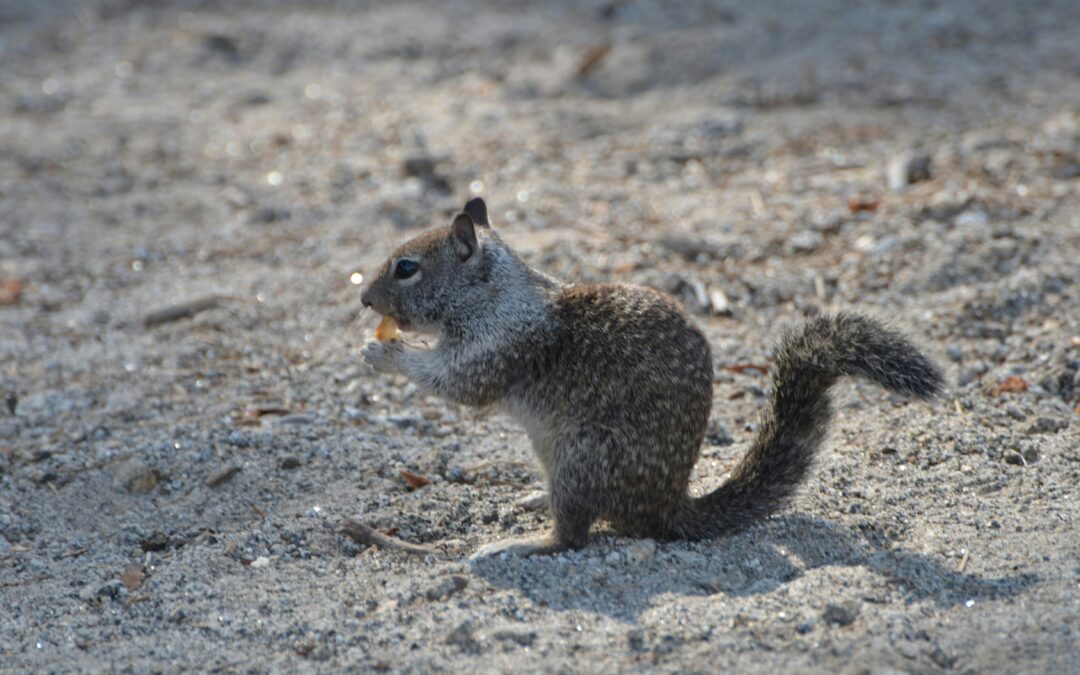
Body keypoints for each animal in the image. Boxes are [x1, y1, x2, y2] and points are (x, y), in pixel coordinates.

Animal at [361, 198, 943, 559]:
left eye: (406, 268)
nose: (364, 299)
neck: (494, 295)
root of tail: (668, 505)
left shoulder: (496, 348)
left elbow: (458, 385)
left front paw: (385, 353)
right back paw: (531, 498)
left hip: (584, 456)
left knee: (574, 535)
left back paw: (522, 542)